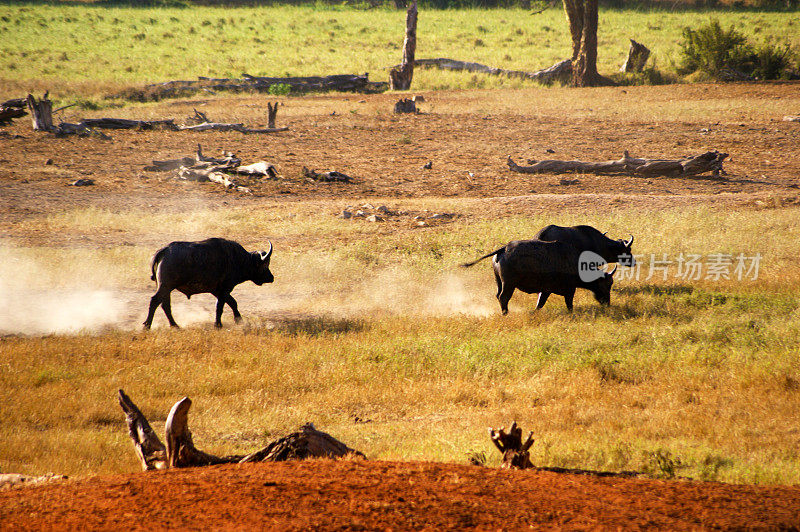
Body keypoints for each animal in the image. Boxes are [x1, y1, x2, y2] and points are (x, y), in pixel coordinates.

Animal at [141, 237, 272, 328]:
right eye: (265, 266)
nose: (271, 278)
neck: (237, 259)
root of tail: (164, 250)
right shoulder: (225, 289)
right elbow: (220, 307)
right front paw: (218, 325)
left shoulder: (217, 291)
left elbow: (233, 303)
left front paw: (239, 320)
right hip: (165, 286)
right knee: (155, 301)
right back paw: (147, 325)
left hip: (166, 288)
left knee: (165, 305)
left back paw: (175, 325)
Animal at [462, 240, 620, 314]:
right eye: (606, 285)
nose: (607, 302)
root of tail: (504, 249)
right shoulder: (566, 290)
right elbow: (568, 304)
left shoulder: (545, 291)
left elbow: (540, 304)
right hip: (509, 284)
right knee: (503, 297)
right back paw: (505, 313)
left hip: (499, 282)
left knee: (498, 296)